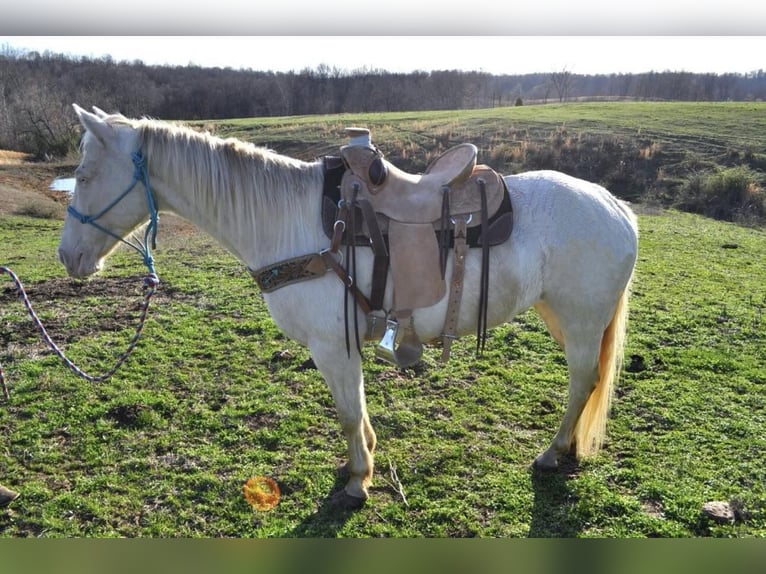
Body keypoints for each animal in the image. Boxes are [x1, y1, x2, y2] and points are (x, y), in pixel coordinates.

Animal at [60, 106, 640, 510]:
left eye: (84, 177)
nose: (69, 257)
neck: (289, 222)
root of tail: (617, 206)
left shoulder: (331, 346)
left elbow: (345, 412)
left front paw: (358, 480)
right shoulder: (344, 347)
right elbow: (355, 410)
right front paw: (363, 460)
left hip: (581, 320)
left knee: (583, 380)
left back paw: (553, 452)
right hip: (562, 317)